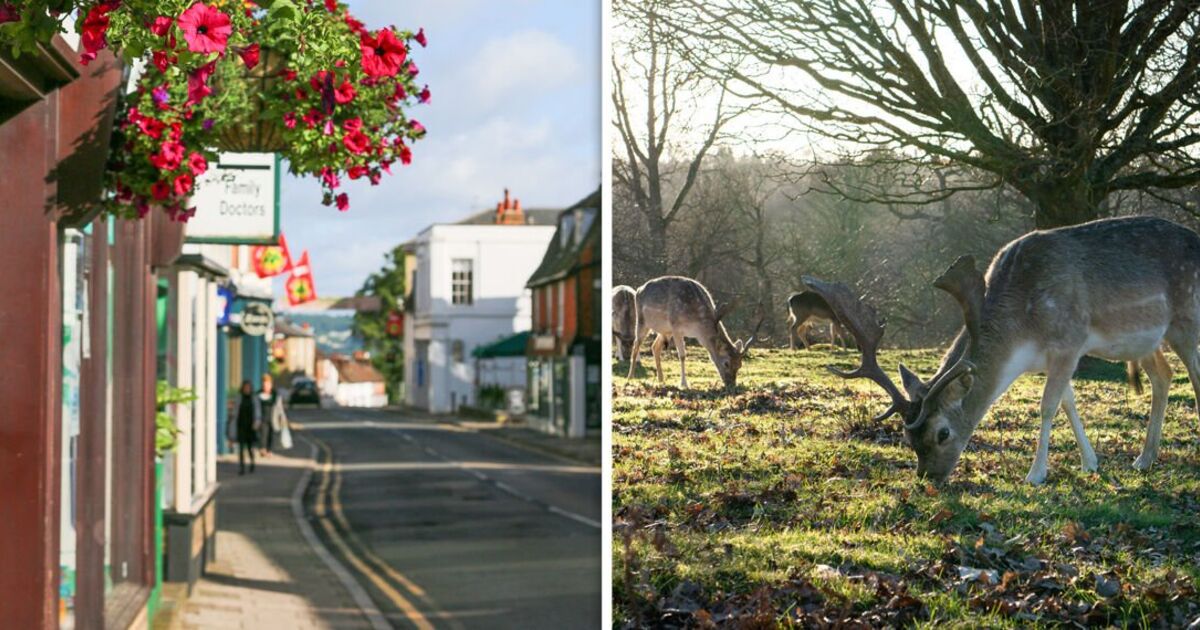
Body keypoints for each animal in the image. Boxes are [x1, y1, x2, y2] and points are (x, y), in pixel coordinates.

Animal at [628, 274, 758, 388]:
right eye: (726, 363)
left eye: (740, 365)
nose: (731, 384)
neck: (697, 326)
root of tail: (638, 289)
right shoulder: (676, 327)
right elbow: (682, 355)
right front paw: (684, 383)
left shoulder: (674, 330)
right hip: (642, 320)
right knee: (635, 345)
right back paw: (631, 377)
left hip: (665, 330)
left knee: (655, 347)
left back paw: (661, 379)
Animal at [806, 213, 1200, 484]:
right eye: (906, 436)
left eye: (942, 433)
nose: (929, 478)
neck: (1023, 332)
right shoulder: (1050, 358)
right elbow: (1069, 401)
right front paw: (1090, 463)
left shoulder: (1069, 339)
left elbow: (1047, 406)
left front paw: (1036, 474)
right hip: (1146, 340)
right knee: (1164, 376)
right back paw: (1144, 459)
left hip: (1186, 318)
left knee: (1193, 377)